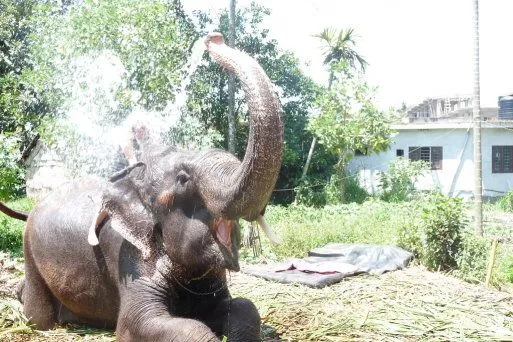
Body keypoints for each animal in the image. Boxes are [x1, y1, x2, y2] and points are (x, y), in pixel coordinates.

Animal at [0, 32, 282, 342]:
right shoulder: (128, 256)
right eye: (183, 178)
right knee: (39, 317)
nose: (214, 38)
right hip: (30, 251)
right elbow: (141, 322)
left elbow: (243, 306)